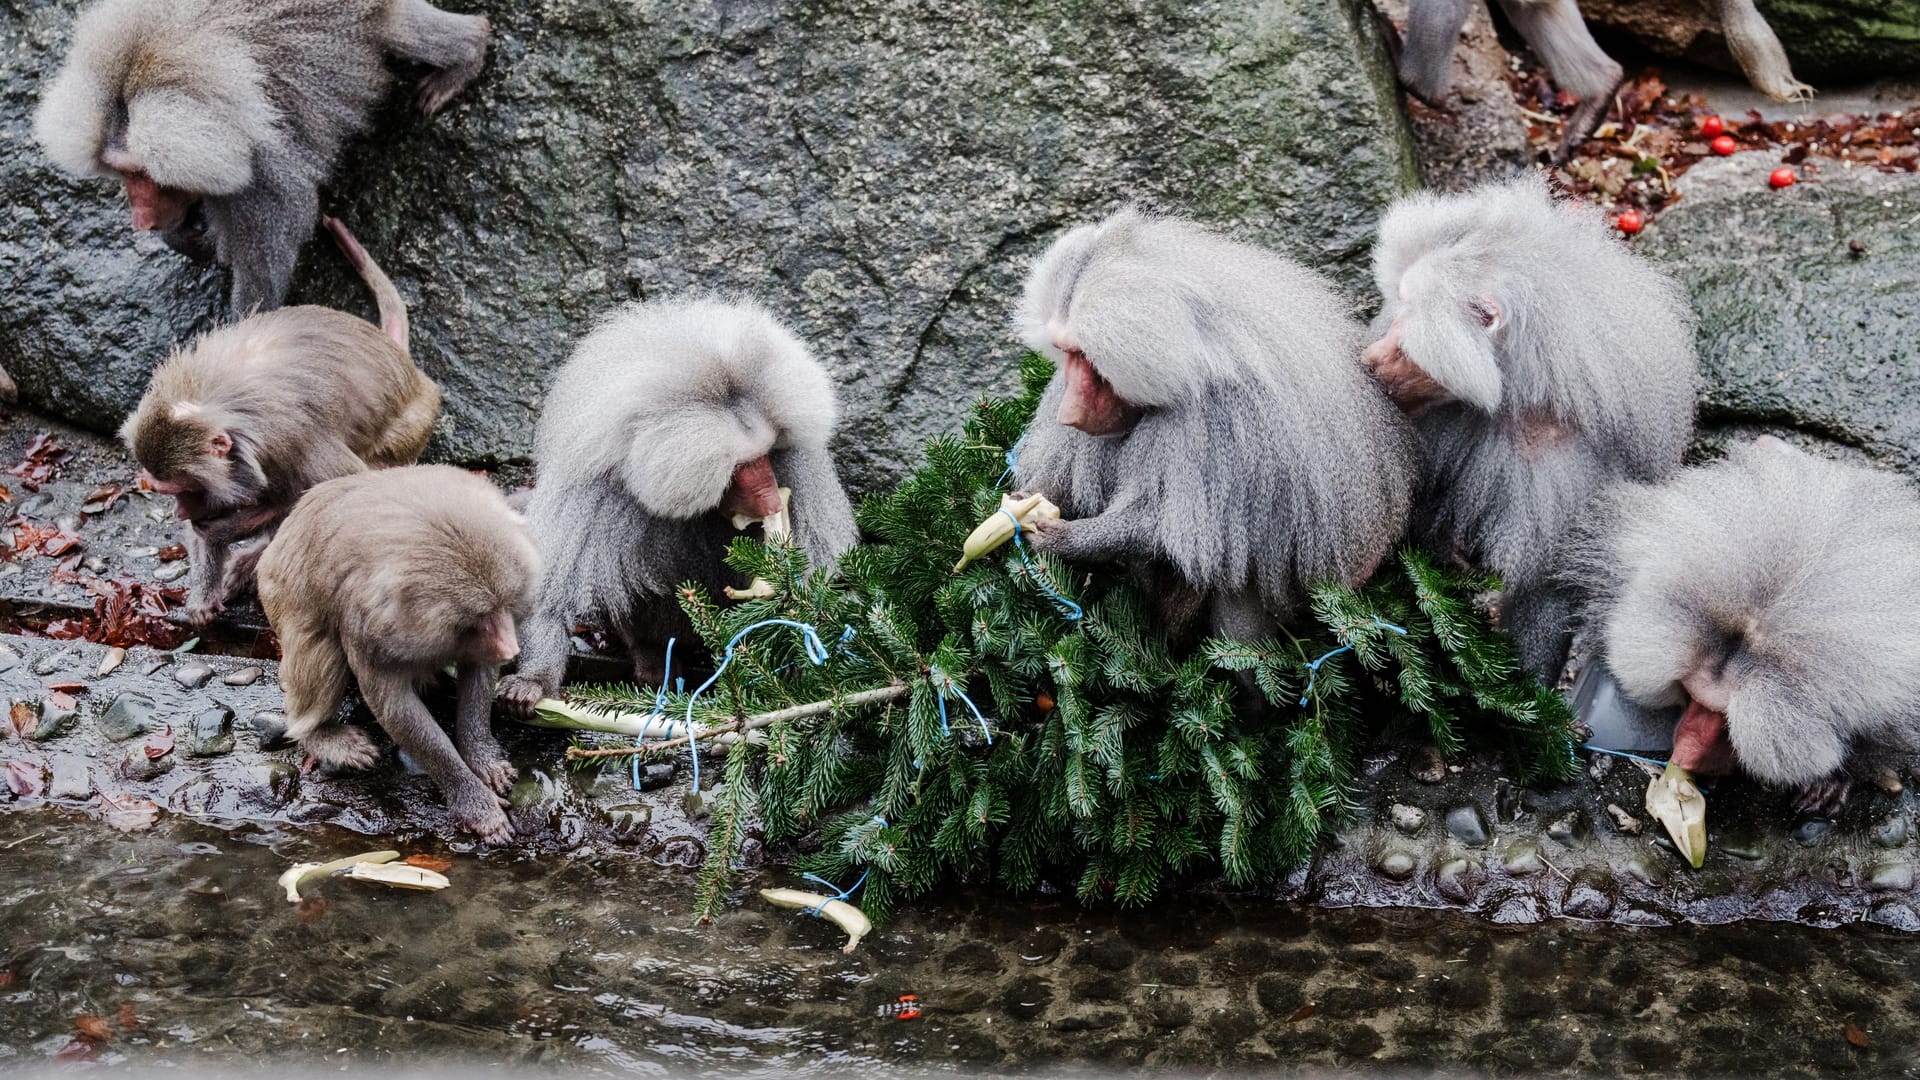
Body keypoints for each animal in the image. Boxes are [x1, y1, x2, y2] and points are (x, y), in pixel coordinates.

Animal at [33, 0, 491, 311]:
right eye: (123, 174)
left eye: (143, 174)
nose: (139, 220)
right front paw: (185, 237)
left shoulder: (262, 176)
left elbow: (266, 258)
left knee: (400, 29)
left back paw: (465, 58)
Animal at [121, 216, 443, 622]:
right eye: (170, 492)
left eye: (186, 489)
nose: (179, 511)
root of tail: (408, 367)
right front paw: (204, 591)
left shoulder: (293, 441)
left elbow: (344, 488)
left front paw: (230, 528)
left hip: (412, 428)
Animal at [257, 465, 541, 841]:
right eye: (481, 620)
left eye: (504, 605)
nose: (510, 647)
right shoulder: (368, 624)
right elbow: (395, 706)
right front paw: (475, 802)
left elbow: (478, 672)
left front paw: (483, 759)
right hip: (279, 592)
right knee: (318, 645)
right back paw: (320, 734)